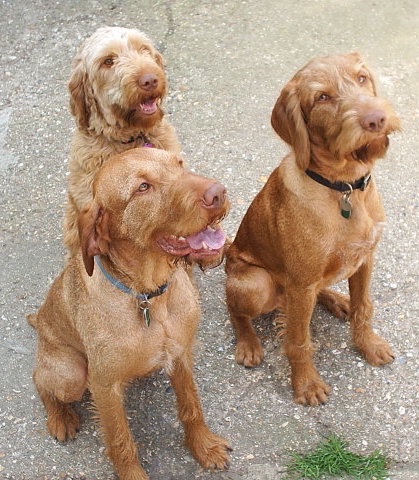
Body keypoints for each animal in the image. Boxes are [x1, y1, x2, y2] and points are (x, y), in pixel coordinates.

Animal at [28, 148, 233, 478]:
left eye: (179, 164)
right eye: (143, 188)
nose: (218, 192)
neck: (149, 296)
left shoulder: (181, 354)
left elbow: (192, 406)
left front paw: (203, 446)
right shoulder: (104, 386)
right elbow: (121, 440)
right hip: (72, 376)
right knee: (41, 380)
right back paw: (60, 417)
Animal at [225, 51, 402, 404]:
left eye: (362, 78)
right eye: (322, 97)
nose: (375, 119)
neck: (344, 187)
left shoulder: (365, 260)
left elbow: (364, 307)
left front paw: (368, 344)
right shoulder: (301, 283)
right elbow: (298, 341)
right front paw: (305, 384)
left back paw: (337, 300)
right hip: (257, 283)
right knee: (235, 309)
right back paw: (248, 344)